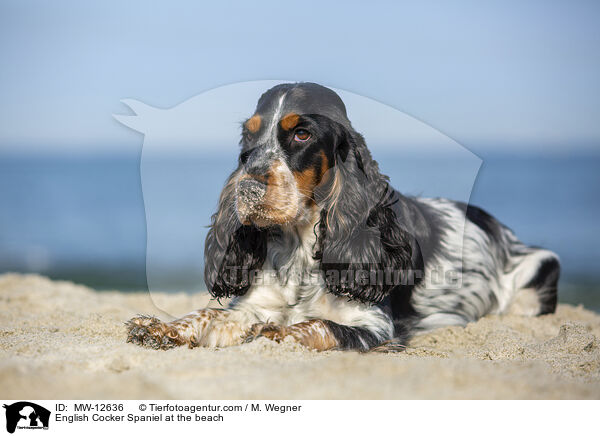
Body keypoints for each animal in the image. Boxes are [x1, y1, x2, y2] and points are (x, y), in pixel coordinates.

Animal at [124, 82, 560, 352]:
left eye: (301, 134)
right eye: (249, 136)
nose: (245, 189)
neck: (302, 244)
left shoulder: (374, 327)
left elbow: (318, 325)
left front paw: (276, 332)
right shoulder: (252, 303)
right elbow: (209, 312)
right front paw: (159, 327)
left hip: (538, 271)